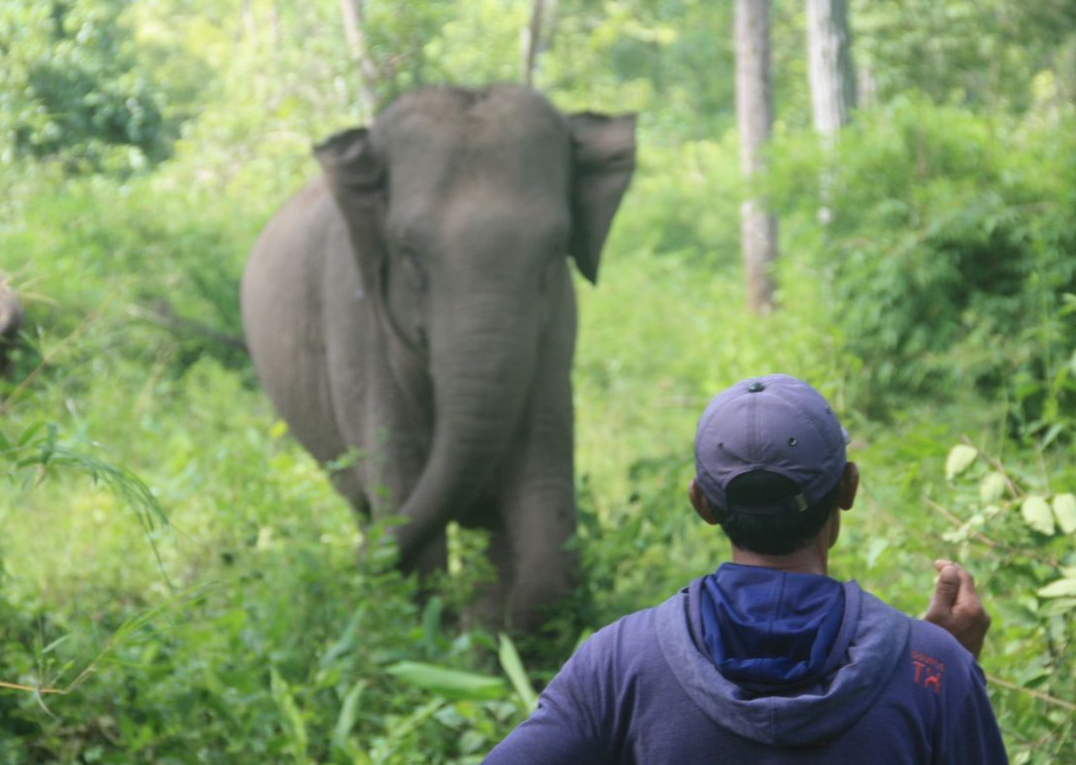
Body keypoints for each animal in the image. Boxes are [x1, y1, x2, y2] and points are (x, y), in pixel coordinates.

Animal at [239, 85, 632, 632]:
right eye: (409, 253)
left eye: (554, 249)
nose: (350, 569)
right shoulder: (356, 322)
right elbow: (402, 492)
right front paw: (445, 633)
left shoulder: (556, 338)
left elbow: (543, 514)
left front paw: (494, 634)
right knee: (363, 502)